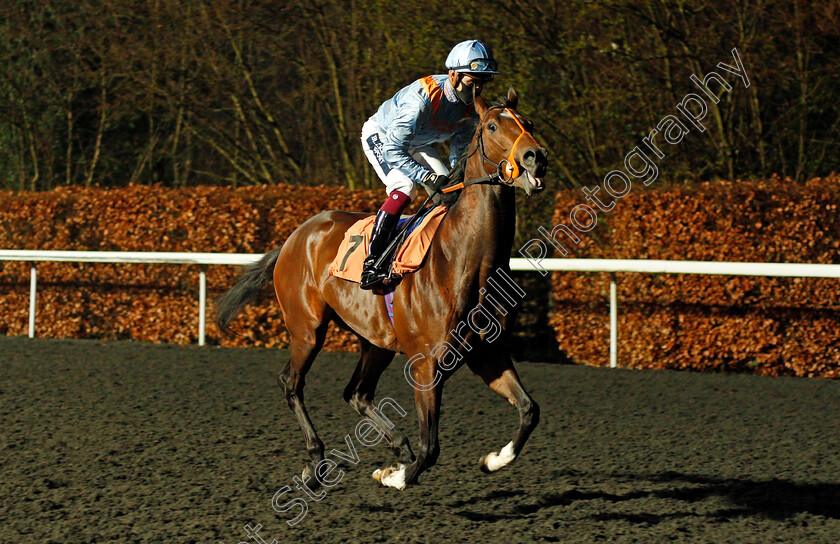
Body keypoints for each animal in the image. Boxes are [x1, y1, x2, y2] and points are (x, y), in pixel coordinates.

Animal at [213, 87, 548, 490]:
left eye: (529, 123)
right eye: (493, 126)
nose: (536, 157)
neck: (465, 261)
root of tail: (294, 237)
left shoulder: (489, 353)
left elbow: (529, 409)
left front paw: (494, 459)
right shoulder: (426, 364)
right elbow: (431, 448)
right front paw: (396, 477)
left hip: (375, 341)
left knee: (356, 392)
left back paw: (397, 446)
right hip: (307, 328)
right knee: (291, 383)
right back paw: (316, 461)